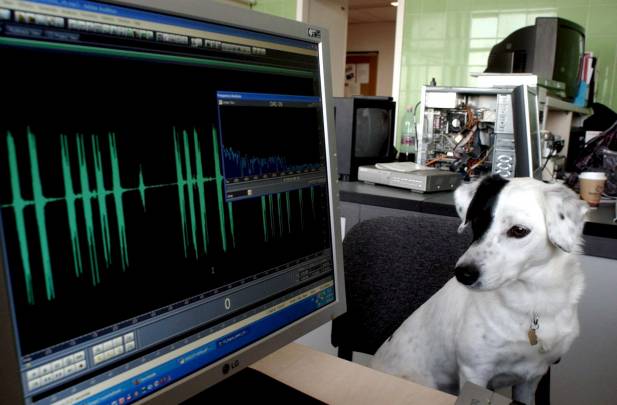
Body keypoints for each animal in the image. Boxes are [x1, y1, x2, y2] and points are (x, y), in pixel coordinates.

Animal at [370, 174, 588, 404]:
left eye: (519, 231)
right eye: (477, 221)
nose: (463, 273)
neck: (532, 303)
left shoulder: (531, 378)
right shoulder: (474, 372)